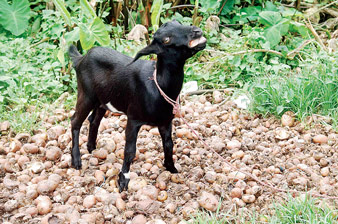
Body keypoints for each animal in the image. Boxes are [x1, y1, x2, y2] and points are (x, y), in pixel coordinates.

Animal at [68, 20, 206, 191]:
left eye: (178, 22)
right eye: (166, 39)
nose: (196, 31)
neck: (157, 85)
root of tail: (81, 59)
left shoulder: (166, 121)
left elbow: (168, 144)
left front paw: (171, 168)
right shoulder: (133, 119)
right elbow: (130, 151)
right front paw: (123, 180)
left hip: (102, 100)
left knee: (94, 120)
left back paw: (92, 147)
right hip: (86, 94)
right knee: (75, 121)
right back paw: (76, 160)